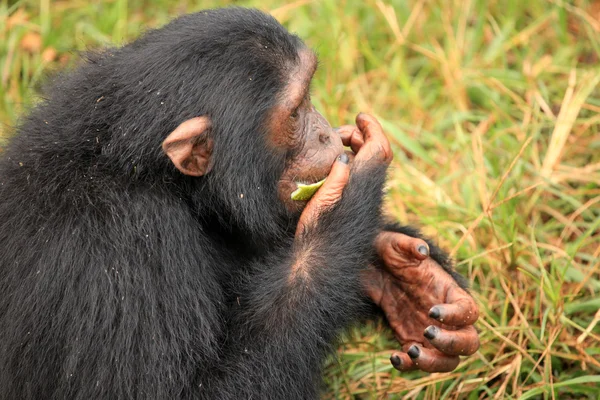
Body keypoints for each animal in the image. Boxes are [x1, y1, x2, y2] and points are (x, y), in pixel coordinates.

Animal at [0, 7, 478, 400]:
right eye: (296, 112)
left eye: (310, 95)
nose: (326, 132)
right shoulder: (120, 243)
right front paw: (344, 211)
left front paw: (407, 280)